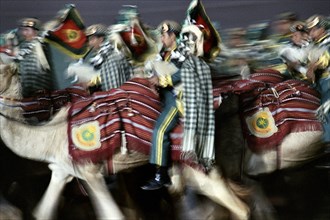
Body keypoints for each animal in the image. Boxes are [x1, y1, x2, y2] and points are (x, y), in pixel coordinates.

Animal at [0, 62, 249, 219]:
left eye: (1, 70)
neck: (50, 136)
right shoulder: (62, 171)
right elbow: (41, 213)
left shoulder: (91, 171)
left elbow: (114, 215)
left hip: (196, 161)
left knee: (237, 206)